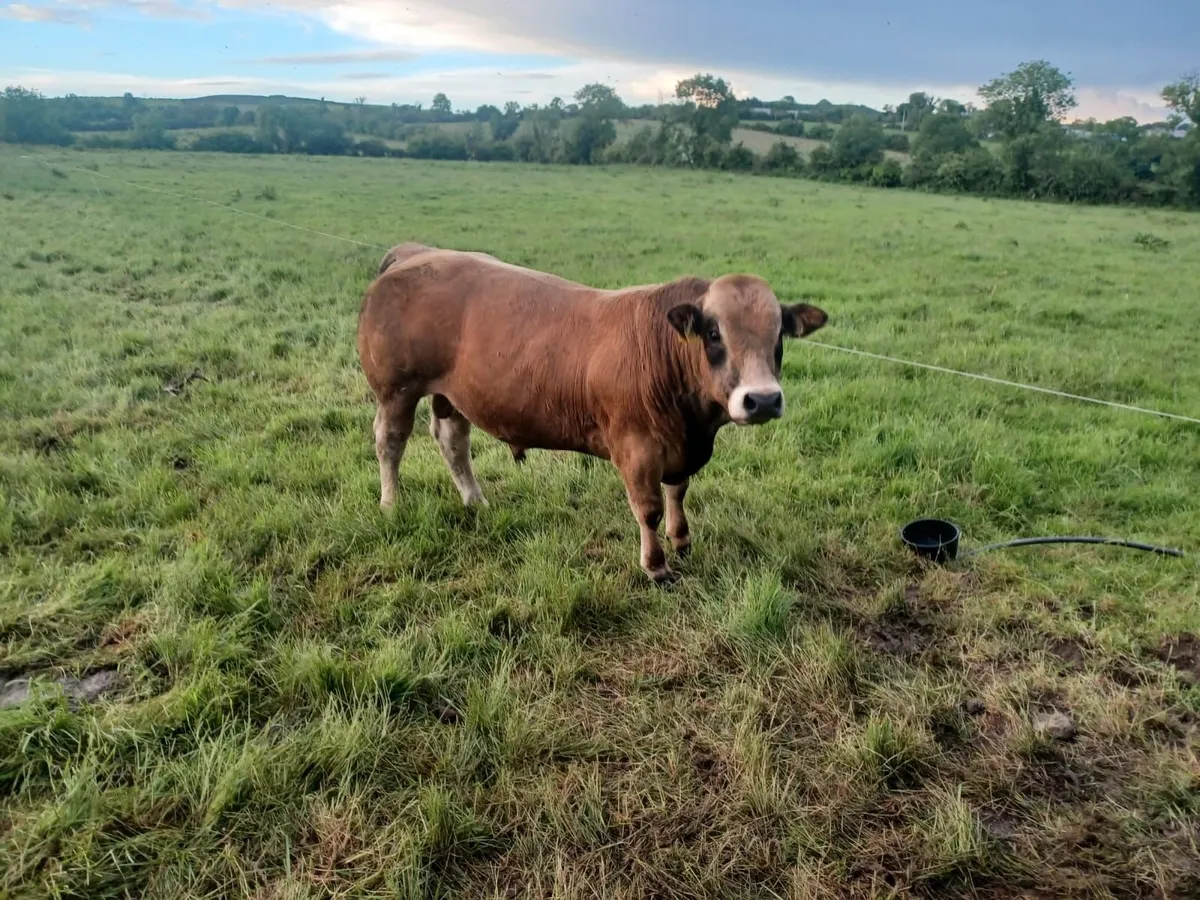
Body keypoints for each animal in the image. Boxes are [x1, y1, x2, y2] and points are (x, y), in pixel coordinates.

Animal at [357, 242, 828, 583]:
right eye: (714, 333)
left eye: (779, 335)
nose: (762, 399)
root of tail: (415, 252)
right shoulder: (637, 449)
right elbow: (648, 508)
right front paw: (656, 566)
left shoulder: (680, 445)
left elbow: (677, 492)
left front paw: (681, 541)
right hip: (395, 391)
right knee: (390, 443)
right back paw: (391, 503)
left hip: (453, 396)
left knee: (453, 442)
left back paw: (475, 500)